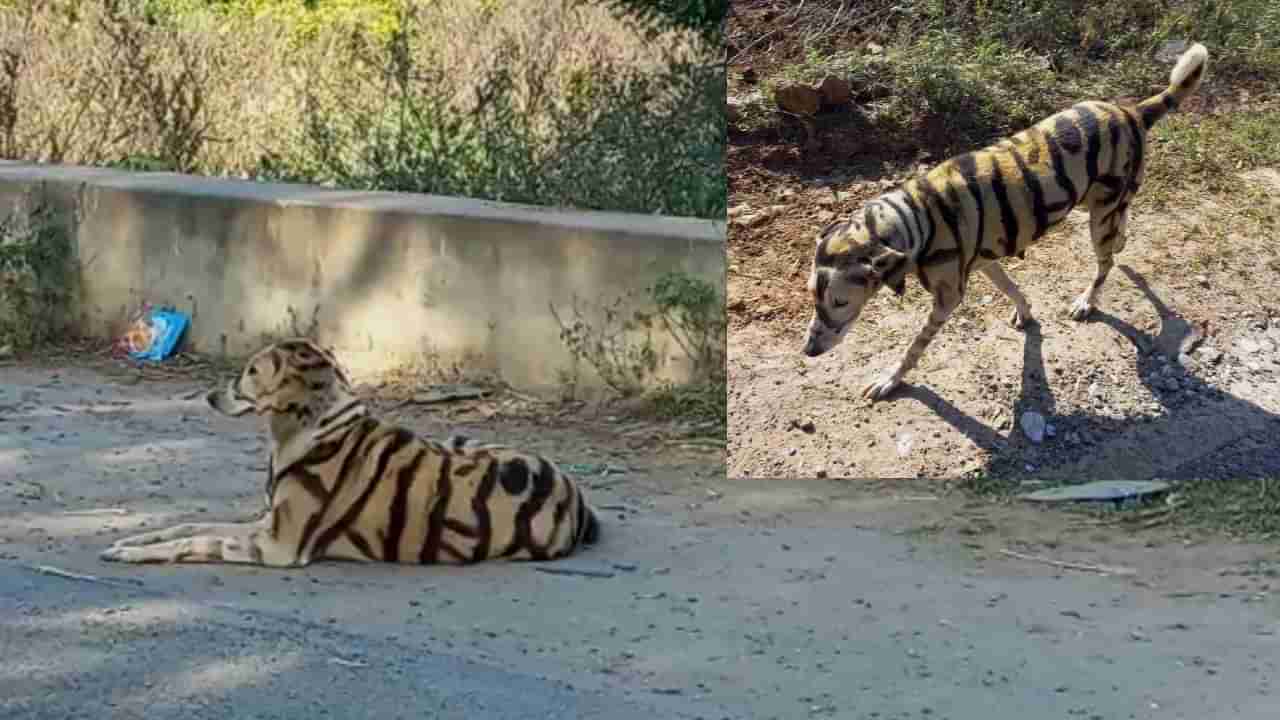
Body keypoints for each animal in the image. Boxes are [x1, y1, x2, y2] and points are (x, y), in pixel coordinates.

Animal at [99, 335, 599, 566]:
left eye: (251, 372)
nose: (206, 396)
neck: (307, 428)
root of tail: (575, 494)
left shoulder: (277, 545)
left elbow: (199, 541)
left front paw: (135, 554)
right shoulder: (263, 523)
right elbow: (188, 524)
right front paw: (136, 539)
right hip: (461, 439)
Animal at [798, 40, 1208, 397]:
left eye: (840, 302)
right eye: (813, 296)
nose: (809, 352)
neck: (916, 218)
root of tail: (1132, 112)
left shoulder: (947, 300)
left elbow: (914, 347)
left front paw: (891, 379)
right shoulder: (985, 264)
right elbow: (1013, 289)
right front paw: (1025, 313)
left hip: (1099, 219)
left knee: (1104, 264)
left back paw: (1087, 300)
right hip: (1099, 207)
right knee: (1120, 232)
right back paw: (1119, 245)